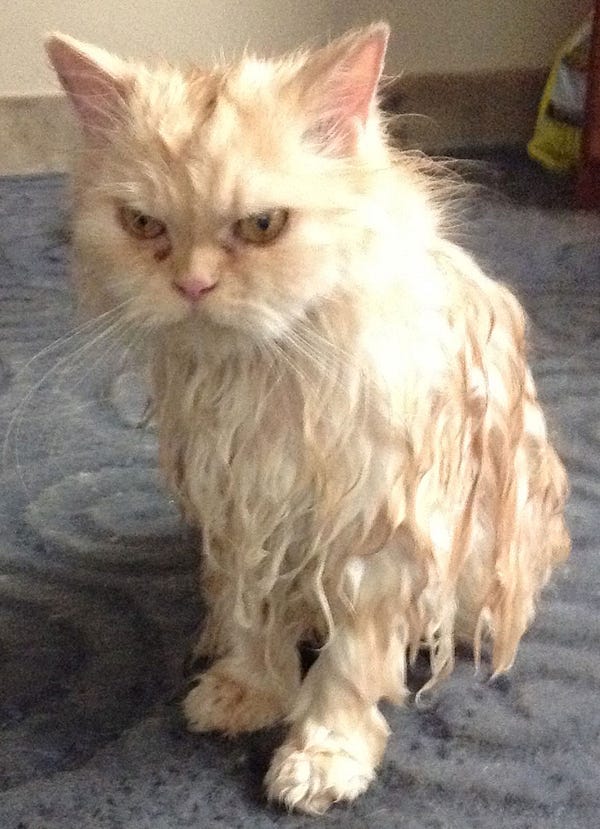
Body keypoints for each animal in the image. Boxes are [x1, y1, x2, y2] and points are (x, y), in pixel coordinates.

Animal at [46, 23, 569, 814]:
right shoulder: (240, 505)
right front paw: (250, 688)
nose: (192, 285)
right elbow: (252, 612)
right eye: (142, 225)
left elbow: (350, 667)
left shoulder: (374, 531)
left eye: (262, 226)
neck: (268, 375)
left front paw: (325, 754)